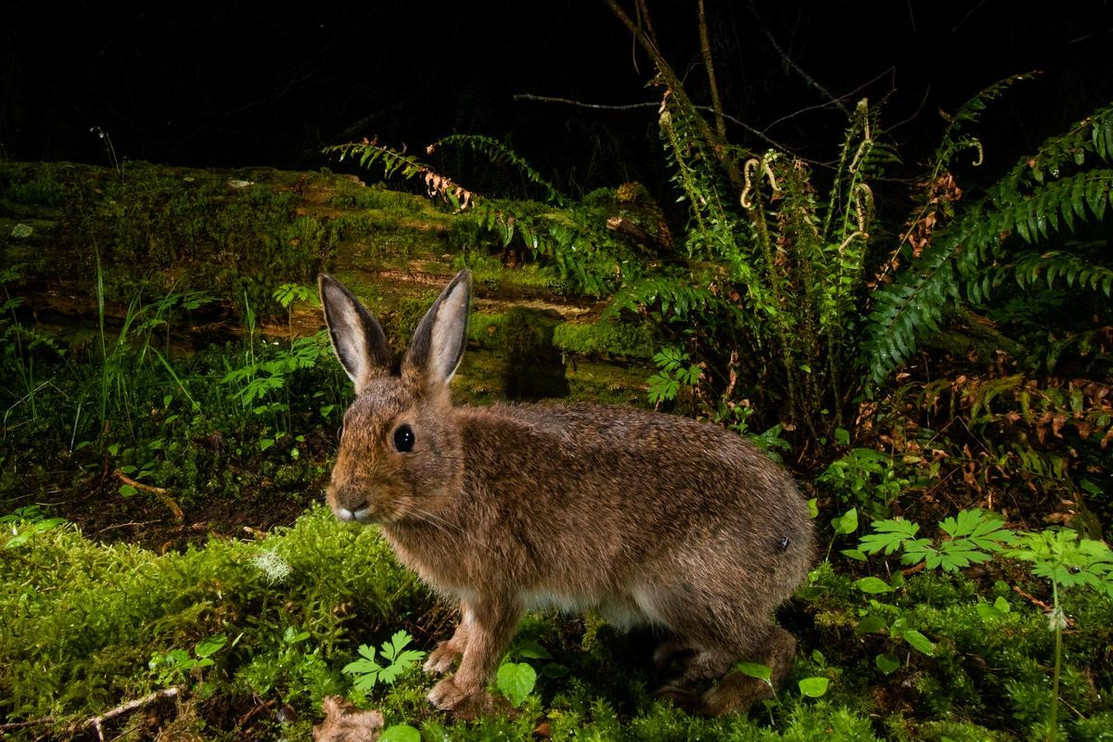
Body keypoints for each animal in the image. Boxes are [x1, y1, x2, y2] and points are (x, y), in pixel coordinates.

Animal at [318, 269, 815, 716]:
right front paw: (444, 655)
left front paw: (456, 691)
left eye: (404, 438)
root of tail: (800, 541)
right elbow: (468, 627)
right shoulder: (473, 592)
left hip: (684, 590)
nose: (349, 501)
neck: (456, 475)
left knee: (776, 645)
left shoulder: (499, 585)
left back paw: (715, 701)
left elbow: (487, 643)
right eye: (345, 428)